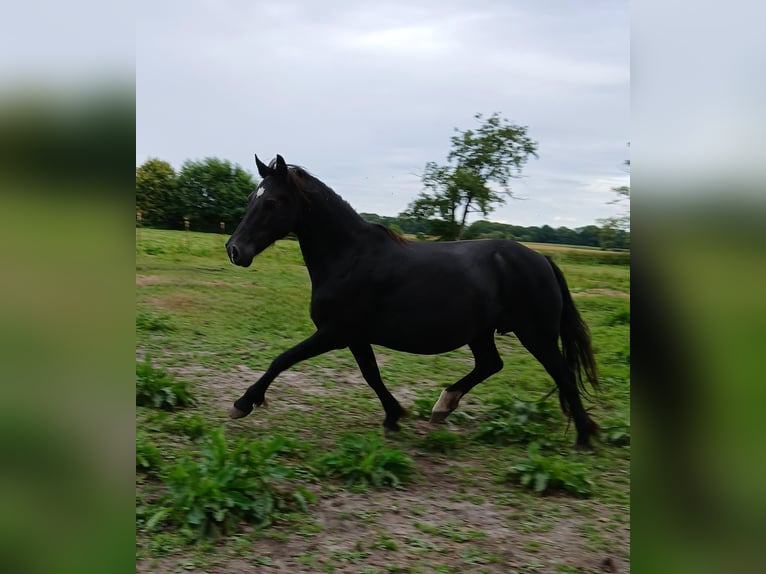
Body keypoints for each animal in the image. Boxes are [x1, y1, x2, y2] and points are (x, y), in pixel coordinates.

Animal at [226, 156, 600, 450]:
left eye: (272, 202)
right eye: (251, 197)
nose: (234, 250)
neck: (349, 257)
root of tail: (542, 259)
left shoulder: (334, 333)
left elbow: (282, 359)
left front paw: (243, 403)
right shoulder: (355, 337)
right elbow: (371, 375)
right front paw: (394, 417)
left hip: (536, 334)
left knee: (563, 373)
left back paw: (584, 437)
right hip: (481, 333)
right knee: (490, 364)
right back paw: (443, 406)